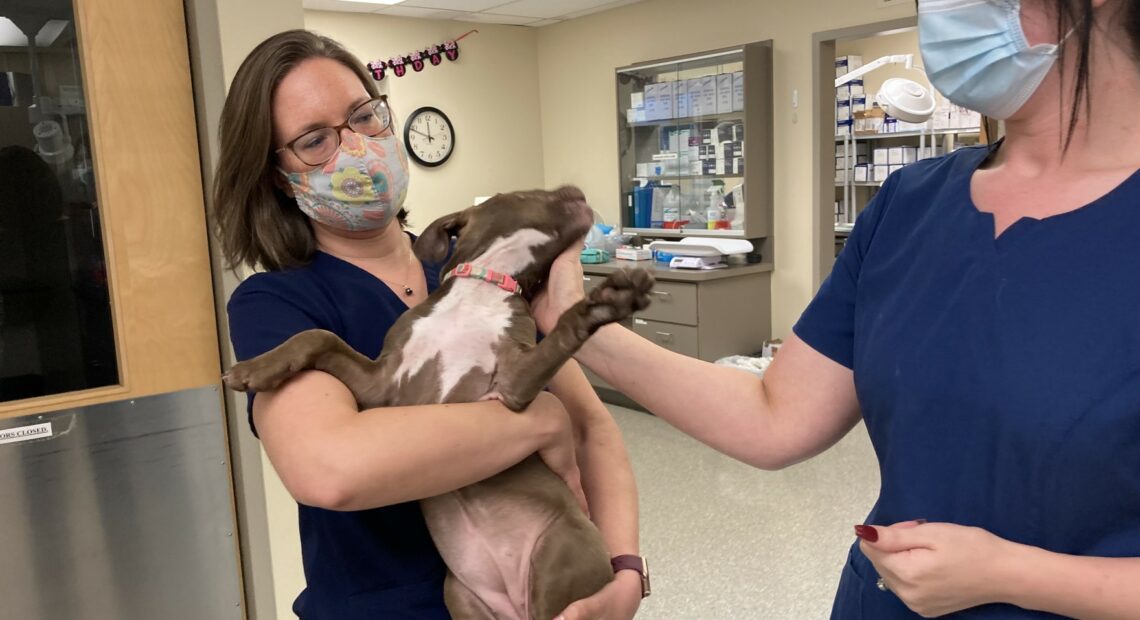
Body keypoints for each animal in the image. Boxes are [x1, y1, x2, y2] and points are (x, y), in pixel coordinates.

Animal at [224, 186, 652, 615]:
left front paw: (602, 304)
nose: (576, 190)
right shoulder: (379, 383)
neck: (482, 287)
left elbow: (563, 329)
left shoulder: (510, 385)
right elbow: (318, 336)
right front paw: (254, 368)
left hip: (559, 551)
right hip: (460, 593)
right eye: (527, 192)